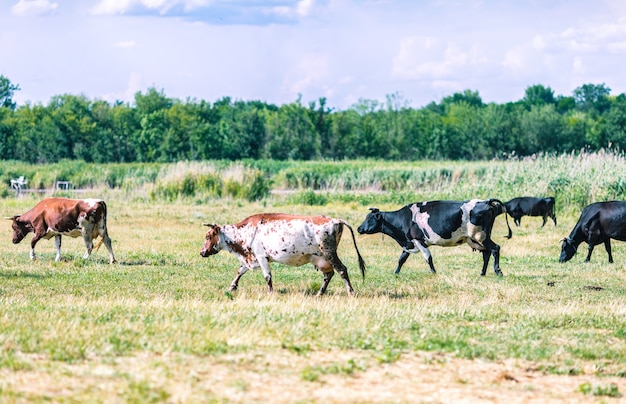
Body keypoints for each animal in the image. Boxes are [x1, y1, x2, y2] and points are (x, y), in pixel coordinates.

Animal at [200, 213, 366, 296]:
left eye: (208, 236)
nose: (202, 252)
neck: (245, 231)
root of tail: (335, 220)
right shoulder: (252, 258)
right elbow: (240, 270)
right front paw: (232, 287)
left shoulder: (261, 257)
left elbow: (267, 276)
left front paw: (270, 293)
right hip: (319, 257)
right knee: (329, 274)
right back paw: (320, 293)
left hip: (329, 253)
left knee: (342, 270)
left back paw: (350, 292)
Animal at [356, 200, 508, 276]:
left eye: (368, 218)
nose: (358, 228)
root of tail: (486, 201)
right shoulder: (409, 243)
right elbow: (401, 259)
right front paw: (395, 273)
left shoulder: (419, 241)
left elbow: (428, 258)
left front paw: (434, 273)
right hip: (476, 239)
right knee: (487, 253)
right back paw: (482, 273)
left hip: (480, 236)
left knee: (495, 248)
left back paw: (498, 271)